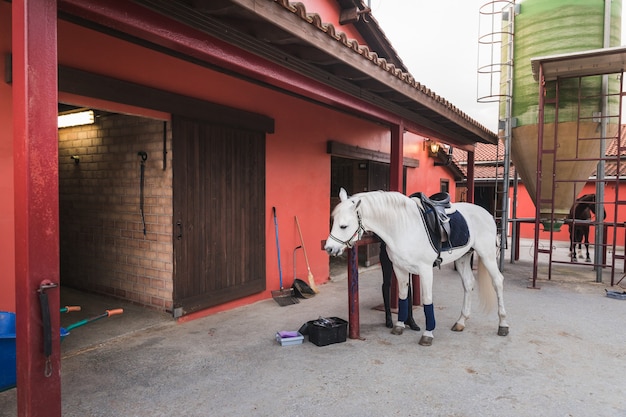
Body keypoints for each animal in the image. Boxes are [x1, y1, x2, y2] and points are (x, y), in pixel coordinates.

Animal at [322, 188, 508, 344]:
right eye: (333, 221)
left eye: (343, 226)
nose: (329, 248)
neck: (403, 227)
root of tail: (487, 214)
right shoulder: (399, 268)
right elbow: (403, 295)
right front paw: (399, 326)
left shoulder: (425, 270)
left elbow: (427, 299)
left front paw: (428, 334)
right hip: (463, 257)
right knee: (468, 284)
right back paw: (461, 322)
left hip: (487, 255)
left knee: (498, 281)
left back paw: (503, 325)